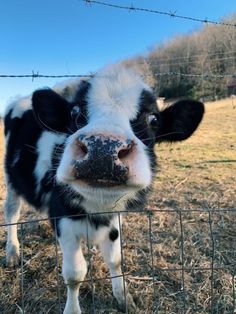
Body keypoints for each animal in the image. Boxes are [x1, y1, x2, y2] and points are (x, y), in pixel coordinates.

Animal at [3, 64, 203, 314]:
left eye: (153, 120)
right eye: (75, 112)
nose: (103, 149)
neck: (97, 207)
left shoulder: (114, 218)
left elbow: (115, 259)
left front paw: (124, 297)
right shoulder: (63, 216)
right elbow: (75, 274)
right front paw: (72, 309)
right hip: (11, 180)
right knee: (11, 213)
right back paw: (12, 252)